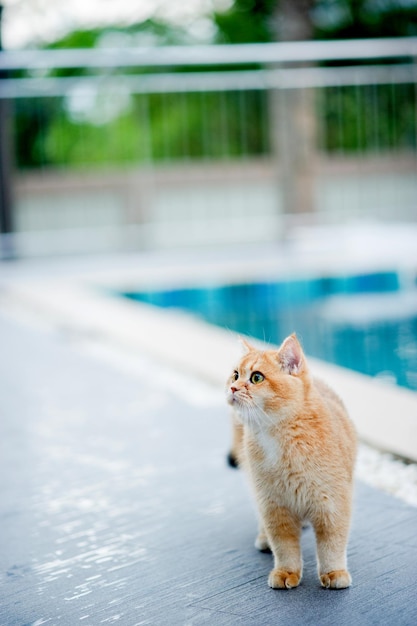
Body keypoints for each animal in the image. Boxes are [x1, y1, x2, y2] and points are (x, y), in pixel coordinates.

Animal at [226, 334, 356, 588]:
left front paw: (334, 572)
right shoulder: (274, 507)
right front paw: (286, 572)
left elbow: (332, 545)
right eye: (235, 374)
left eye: (256, 377)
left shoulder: (333, 504)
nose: (233, 387)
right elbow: (284, 547)